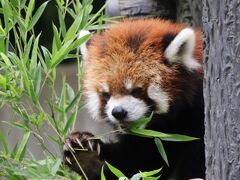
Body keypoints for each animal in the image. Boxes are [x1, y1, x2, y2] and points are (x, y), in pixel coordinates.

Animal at [63, 19, 204, 179]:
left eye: (137, 91)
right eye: (106, 94)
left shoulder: (197, 121)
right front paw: (84, 154)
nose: (118, 112)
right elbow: (135, 167)